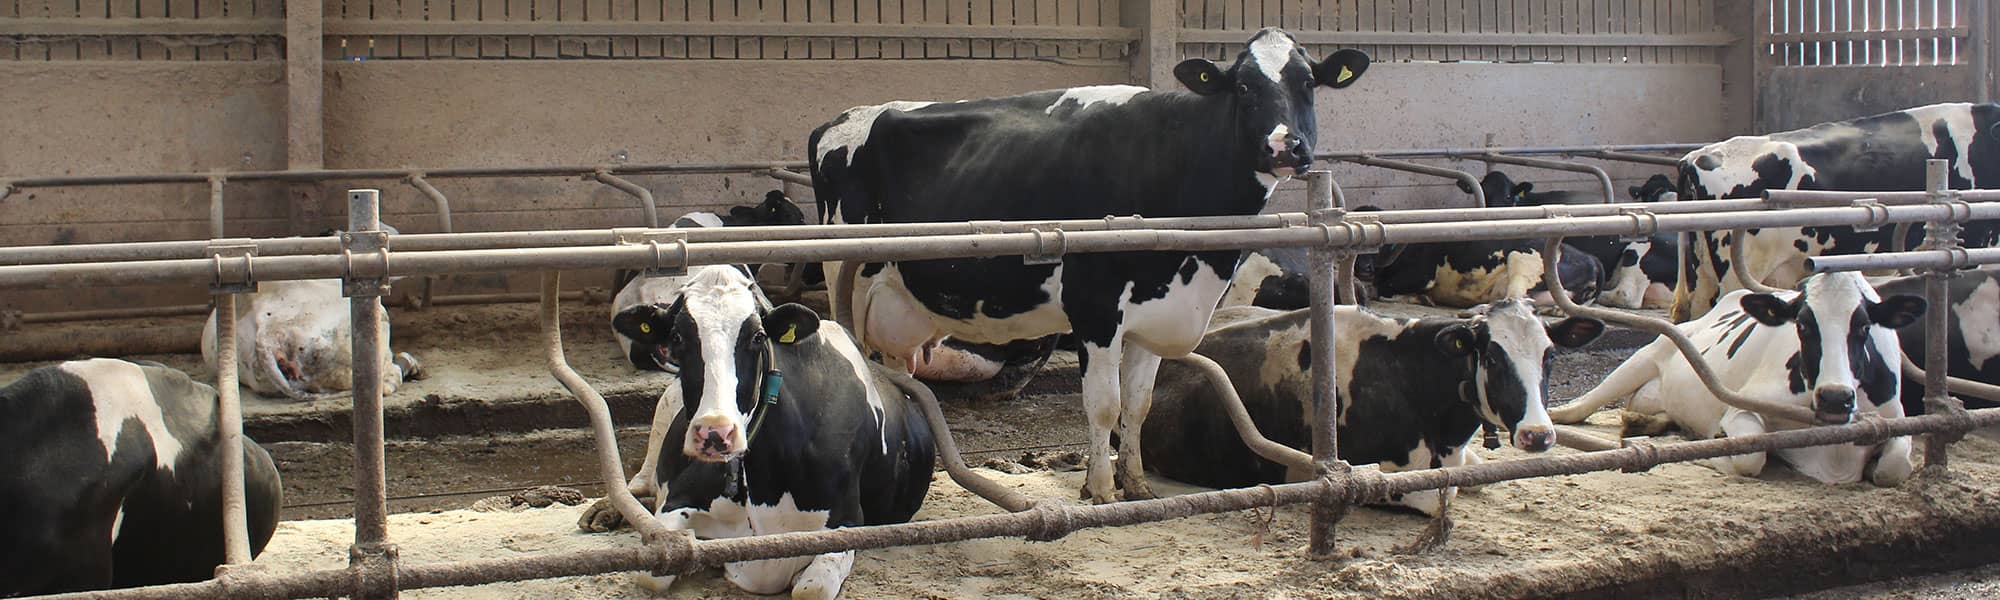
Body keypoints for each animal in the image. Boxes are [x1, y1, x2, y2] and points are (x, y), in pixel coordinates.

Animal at [603, 266, 934, 599]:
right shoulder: (680, 499)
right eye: (676, 336)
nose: (715, 432)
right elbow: (652, 574)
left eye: (758, 336)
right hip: (665, 405)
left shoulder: (847, 520)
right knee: (641, 480)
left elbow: (812, 589)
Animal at [807, 28, 1372, 503]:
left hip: (900, 302)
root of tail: (841, 119)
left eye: (1308, 83)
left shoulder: (1155, 314)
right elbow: (1104, 403)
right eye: (1244, 87)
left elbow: (1138, 404)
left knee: (901, 367)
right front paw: (1099, 490)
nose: (1284, 146)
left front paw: (1137, 483)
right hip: (845, 275)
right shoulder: (1096, 305)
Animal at [1550, 272, 1925, 486]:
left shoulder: (1895, 417)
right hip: (1651, 352)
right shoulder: (1743, 407)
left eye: (1863, 327)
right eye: (1803, 325)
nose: (1835, 397)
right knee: (1581, 405)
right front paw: (1711, 450)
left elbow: (1894, 468)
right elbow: (1748, 457)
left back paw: (1643, 422)